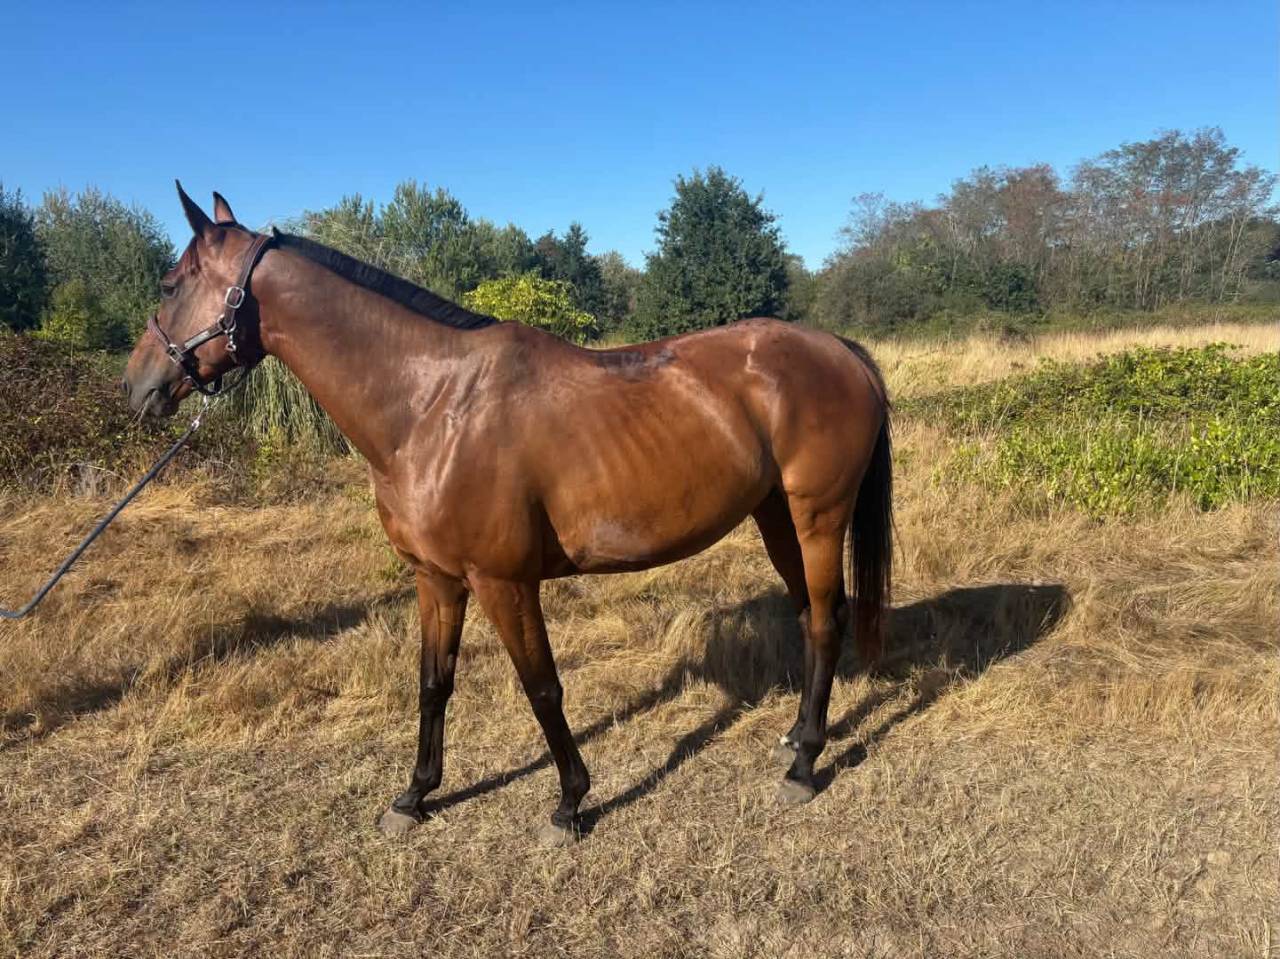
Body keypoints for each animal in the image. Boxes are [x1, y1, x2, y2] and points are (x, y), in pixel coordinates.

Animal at [123, 183, 893, 844]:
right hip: (776, 517)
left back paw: (804, 766)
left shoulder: (504, 581)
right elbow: (433, 683)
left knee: (825, 620)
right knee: (812, 615)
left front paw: (570, 803)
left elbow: (542, 687)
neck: (431, 406)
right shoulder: (436, 579)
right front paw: (414, 796)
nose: (135, 386)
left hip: (817, 516)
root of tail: (840, 350)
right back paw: (795, 738)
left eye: (170, 284)